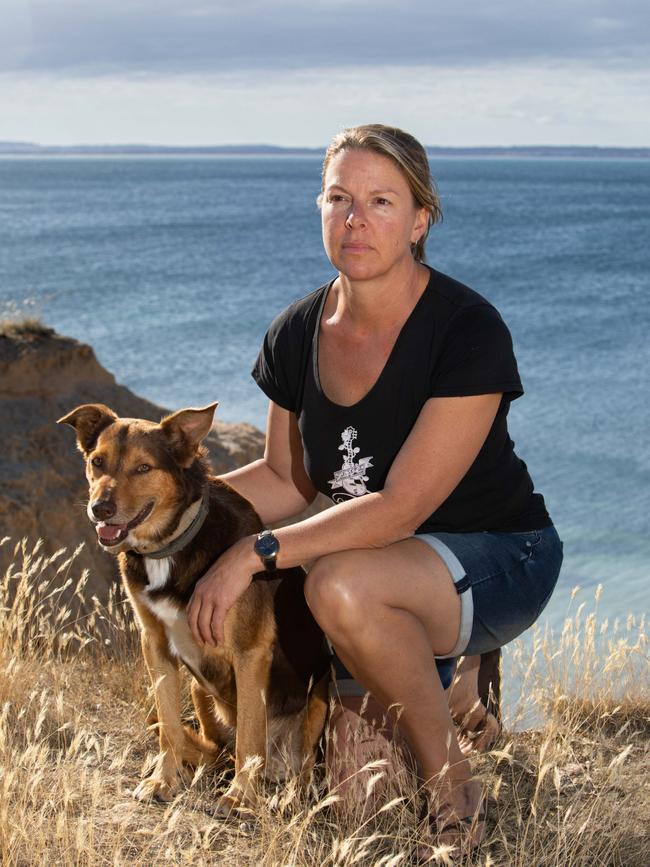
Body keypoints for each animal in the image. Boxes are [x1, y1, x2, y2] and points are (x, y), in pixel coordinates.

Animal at [57, 402, 330, 812]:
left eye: (143, 468)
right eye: (97, 461)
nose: (100, 509)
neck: (171, 545)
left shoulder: (250, 652)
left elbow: (251, 731)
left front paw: (239, 798)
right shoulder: (154, 644)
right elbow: (169, 726)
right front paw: (162, 780)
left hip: (318, 698)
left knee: (295, 762)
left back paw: (285, 793)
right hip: (201, 690)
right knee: (219, 749)